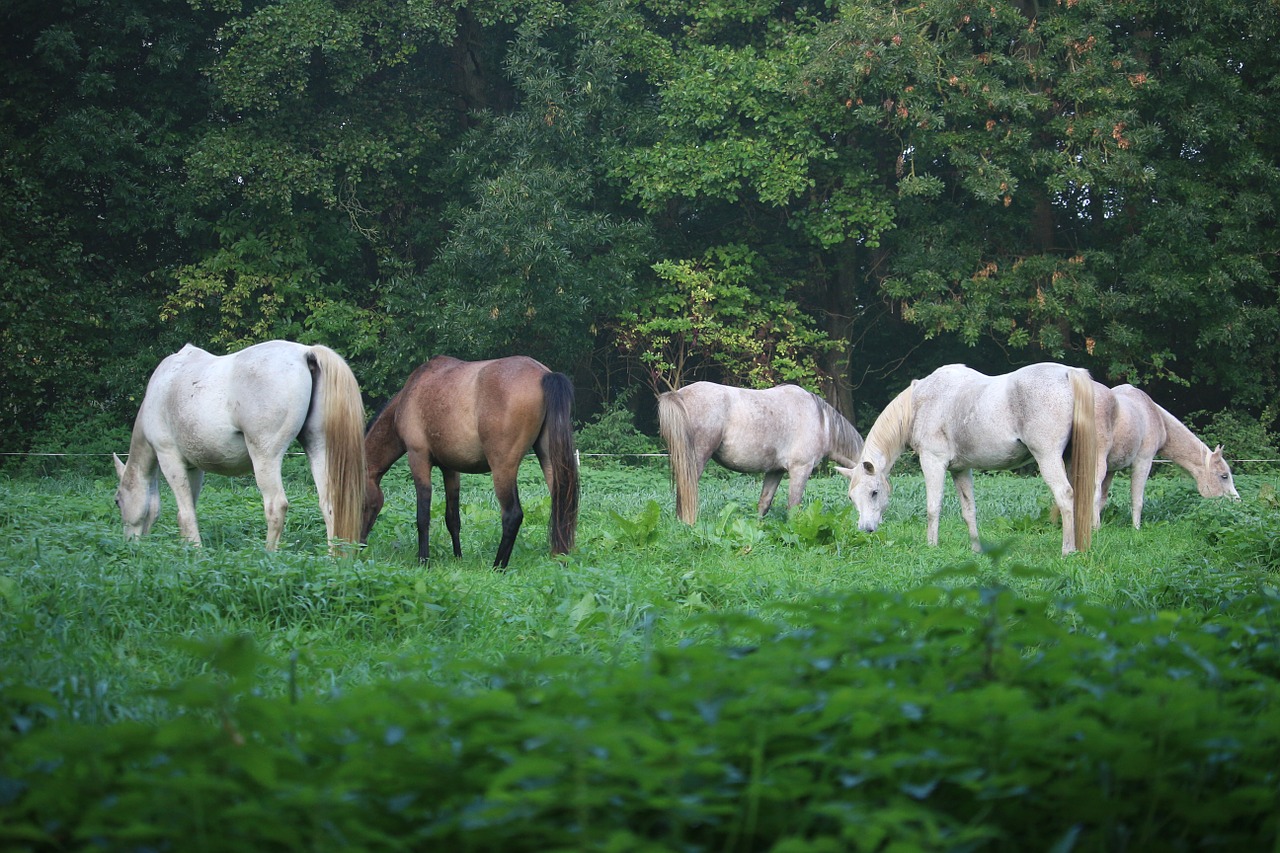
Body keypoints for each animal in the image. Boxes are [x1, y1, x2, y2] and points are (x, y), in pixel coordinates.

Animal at [112, 340, 368, 550]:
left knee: (276, 505)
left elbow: (184, 513)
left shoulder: (169, 458)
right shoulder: (193, 468)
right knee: (329, 505)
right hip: (319, 449)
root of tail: (305, 352)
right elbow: (190, 508)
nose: (129, 544)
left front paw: (195, 552)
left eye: (117, 500)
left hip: (265, 457)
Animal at [360, 350, 581, 563]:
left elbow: (422, 517)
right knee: (561, 505)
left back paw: (498, 566)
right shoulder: (450, 469)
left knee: (512, 515)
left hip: (503, 468)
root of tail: (544, 375)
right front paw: (458, 558)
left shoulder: (418, 458)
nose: (358, 544)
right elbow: (453, 518)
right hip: (548, 460)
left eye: (362, 503)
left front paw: (423, 561)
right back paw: (560, 558)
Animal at [655, 379, 865, 525]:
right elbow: (793, 506)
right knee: (686, 492)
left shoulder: (775, 471)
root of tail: (679, 394)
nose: (868, 527)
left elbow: (764, 502)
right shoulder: (801, 470)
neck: (821, 422)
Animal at [839, 361, 1100, 555]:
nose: (866, 529)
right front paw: (977, 549)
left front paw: (931, 546)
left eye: (874, 492)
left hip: (1047, 458)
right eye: (852, 498)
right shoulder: (961, 470)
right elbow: (969, 510)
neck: (919, 404)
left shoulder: (933, 462)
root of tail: (1068, 373)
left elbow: (933, 507)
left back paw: (1067, 550)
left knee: (1065, 496)